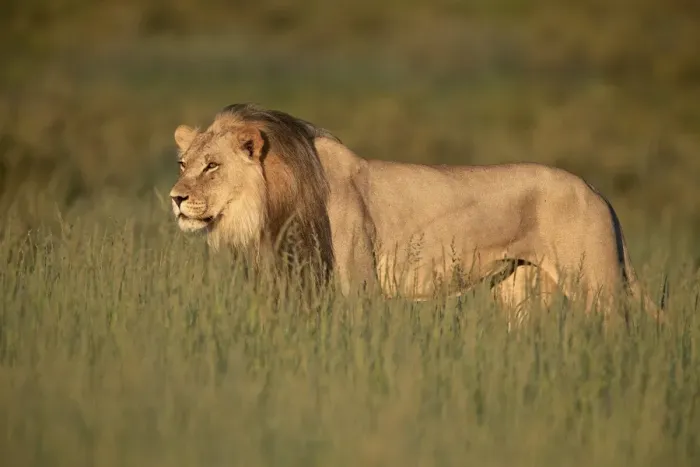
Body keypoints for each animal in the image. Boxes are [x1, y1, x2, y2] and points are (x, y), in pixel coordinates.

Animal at [169, 103, 665, 321]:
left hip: (597, 287)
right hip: (519, 292)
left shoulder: (357, 285)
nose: (175, 198)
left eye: (212, 166)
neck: (271, 206)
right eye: (183, 164)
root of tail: (598, 192)